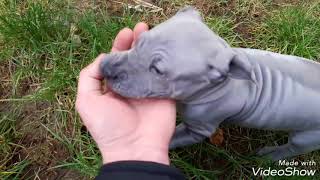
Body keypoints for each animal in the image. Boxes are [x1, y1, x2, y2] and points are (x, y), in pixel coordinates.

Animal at [100, 6, 320, 160]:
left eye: (158, 71)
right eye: (139, 41)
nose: (106, 69)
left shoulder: (200, 128)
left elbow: (174, 138)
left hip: (307, 137)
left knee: (293, 147)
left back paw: (269, 155)